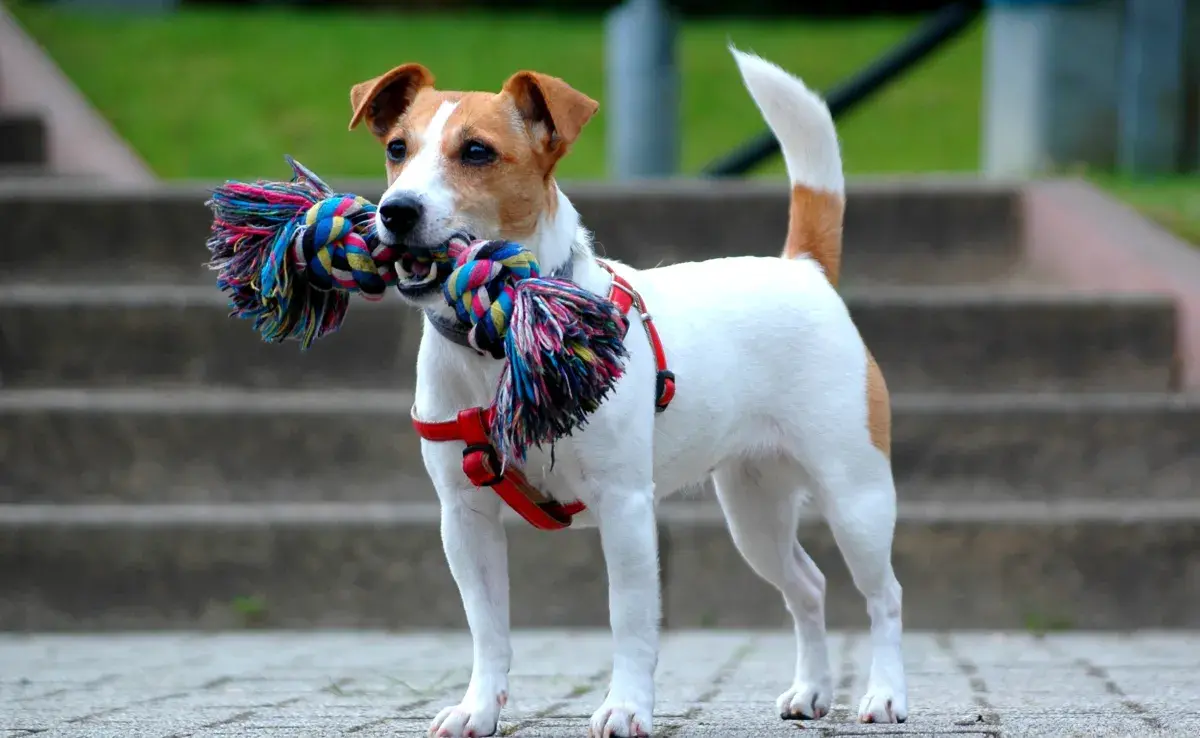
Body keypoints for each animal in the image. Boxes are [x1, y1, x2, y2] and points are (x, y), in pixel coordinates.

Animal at [350, 47, 902, 738]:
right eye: (397, 148)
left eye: (476, 151)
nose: (395, 210)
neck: (505, 331)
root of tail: (802, 268)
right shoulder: (464, 516)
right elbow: (488, 627)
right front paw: (478, 708)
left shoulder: (625, 507)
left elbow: (631, 620)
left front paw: (627, 707)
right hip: (755, 511)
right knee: (808, 586)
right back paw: (811, 690)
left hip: (856, 497)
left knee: (883, 596)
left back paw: (884, 694)